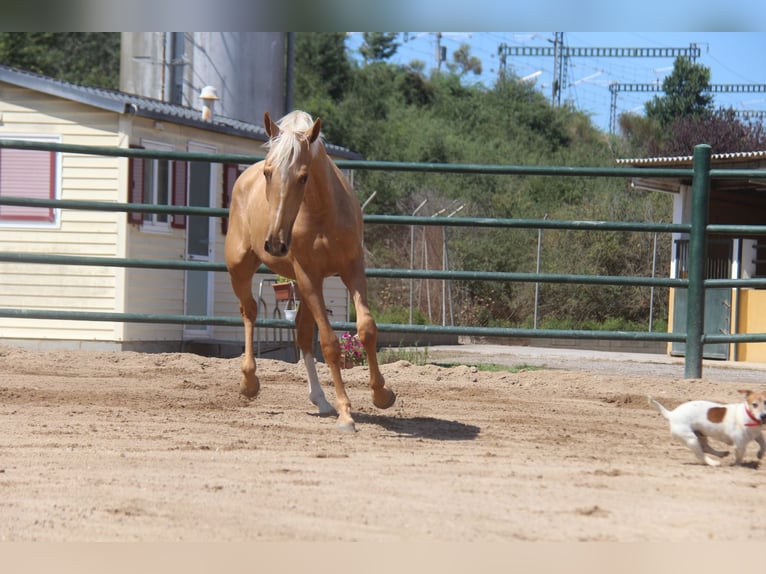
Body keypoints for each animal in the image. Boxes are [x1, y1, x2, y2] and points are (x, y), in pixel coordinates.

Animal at [225, 110, 400, 432]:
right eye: (268, 173)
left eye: (303, 176)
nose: (275, 242)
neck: (321, 214)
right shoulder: (307, 276)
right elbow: (329, 344)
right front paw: (346, 413)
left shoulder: (351, 270)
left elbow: (366, 329)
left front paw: (382, 394)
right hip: (241, 268)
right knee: (250, 312)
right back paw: (250, 382)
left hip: (306, 286)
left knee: (302, 334)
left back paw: (320, 399)